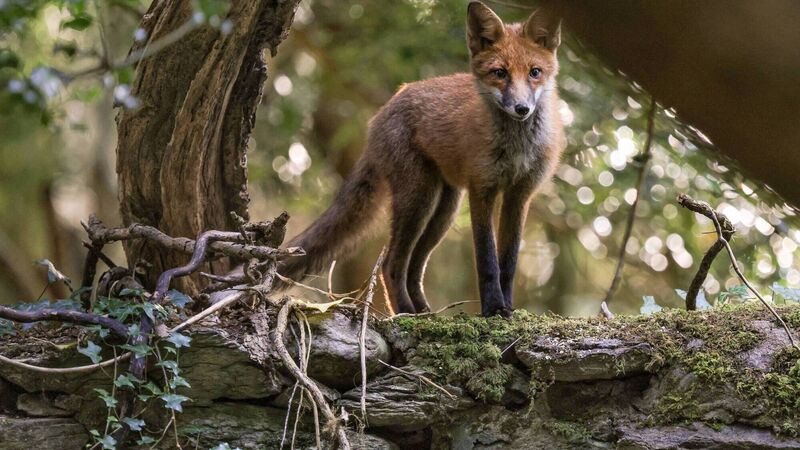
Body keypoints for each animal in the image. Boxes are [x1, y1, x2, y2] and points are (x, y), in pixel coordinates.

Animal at [277, 2, 565, 318]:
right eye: (499, 73)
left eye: (535, 72)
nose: (522, 108)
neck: (516, 147)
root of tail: (384, 110)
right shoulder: (482, 189)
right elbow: (487, 260)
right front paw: (493, 309)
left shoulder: (519, 195)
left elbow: (509, 263)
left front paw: (508, 308)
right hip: (419, 197)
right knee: (391, 264)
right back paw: (405, 312)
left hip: (444, 209)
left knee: (414, 268)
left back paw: (425, 312)